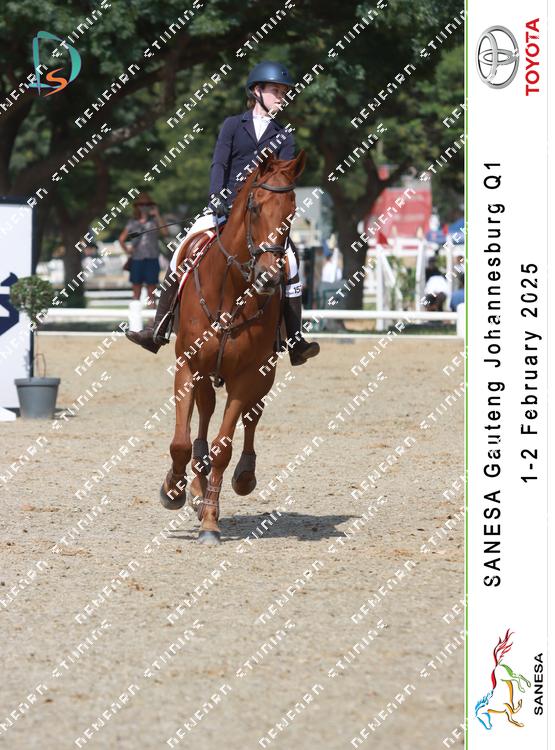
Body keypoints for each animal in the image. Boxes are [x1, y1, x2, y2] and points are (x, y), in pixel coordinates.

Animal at [159, 149, 307, 544]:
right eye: (255, 207)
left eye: (292, 209)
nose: (269, 277)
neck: (231, 291)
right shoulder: (188, 367)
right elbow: (181, 441)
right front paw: (173, 491)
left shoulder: (245, 376)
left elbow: (223, 445)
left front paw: (210, 521)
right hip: (206, 375)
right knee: (204, 414)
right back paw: (194, 484)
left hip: (264, 374)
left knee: (252, 417)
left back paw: (242, 477)